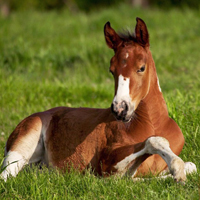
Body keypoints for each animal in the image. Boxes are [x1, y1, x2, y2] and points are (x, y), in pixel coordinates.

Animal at [0, 18, 196, 182]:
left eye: (141, 67)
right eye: (111, 70)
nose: (120, 109)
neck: (153, 124)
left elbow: (191, 166)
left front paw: (177, 174)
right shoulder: (108, 164)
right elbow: (152, 143)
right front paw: (177, 170)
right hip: (22, 144)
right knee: (6, 177)